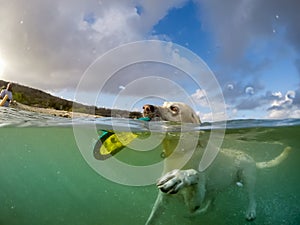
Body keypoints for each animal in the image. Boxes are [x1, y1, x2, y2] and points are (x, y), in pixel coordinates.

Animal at [143, 102, 290, 225]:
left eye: (174, 108)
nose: (146, 108)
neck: (182, 153)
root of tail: (251, 158)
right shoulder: (162, 200)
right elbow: (151, 219)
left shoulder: (195, 201)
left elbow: (194, 174)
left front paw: (179, 177)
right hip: (215, 190)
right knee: (211, 206)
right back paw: (196, 215)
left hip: (247, 177)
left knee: (252, 197)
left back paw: (250, 211)